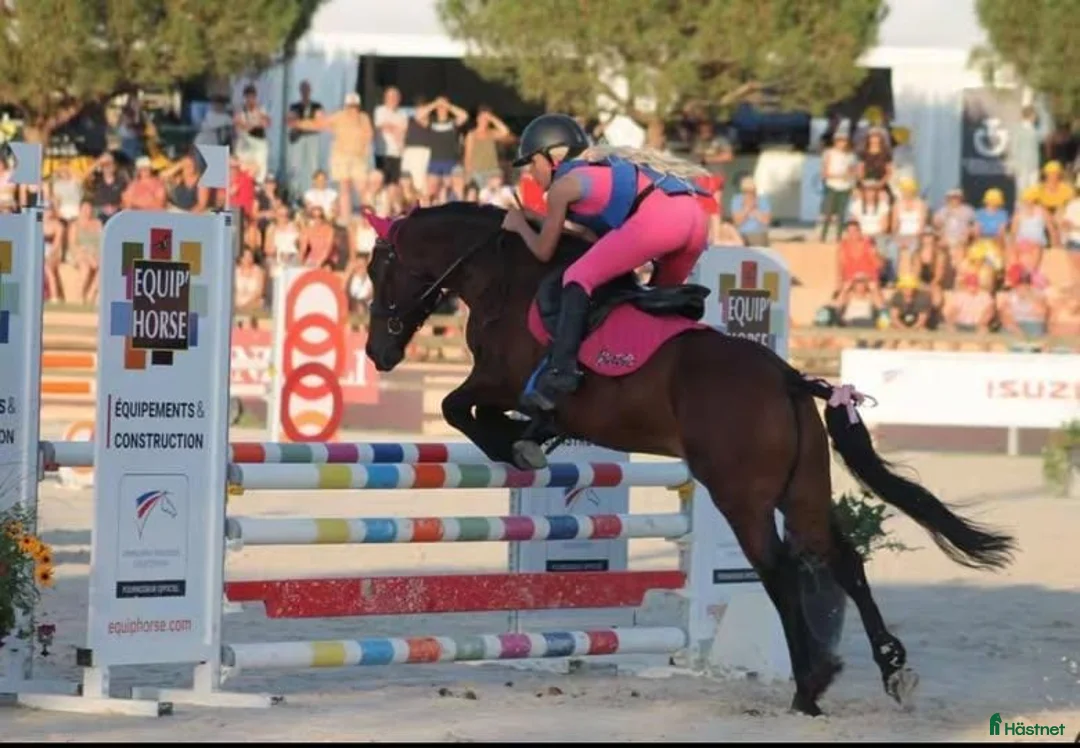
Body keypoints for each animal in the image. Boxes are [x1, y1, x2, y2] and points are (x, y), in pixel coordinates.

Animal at [363, 201, 1017, 716]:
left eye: (377, 268)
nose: (377, 353)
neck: (507, 278)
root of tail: (788, 378)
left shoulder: (496, 379)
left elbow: (456, 406)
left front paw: (517, 441)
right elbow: (475, 411)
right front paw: (532, 437)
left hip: (739, 494)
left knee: (779, 569)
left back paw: (809, 685)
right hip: (802, 491)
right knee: (842, 560)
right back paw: (888, 668)